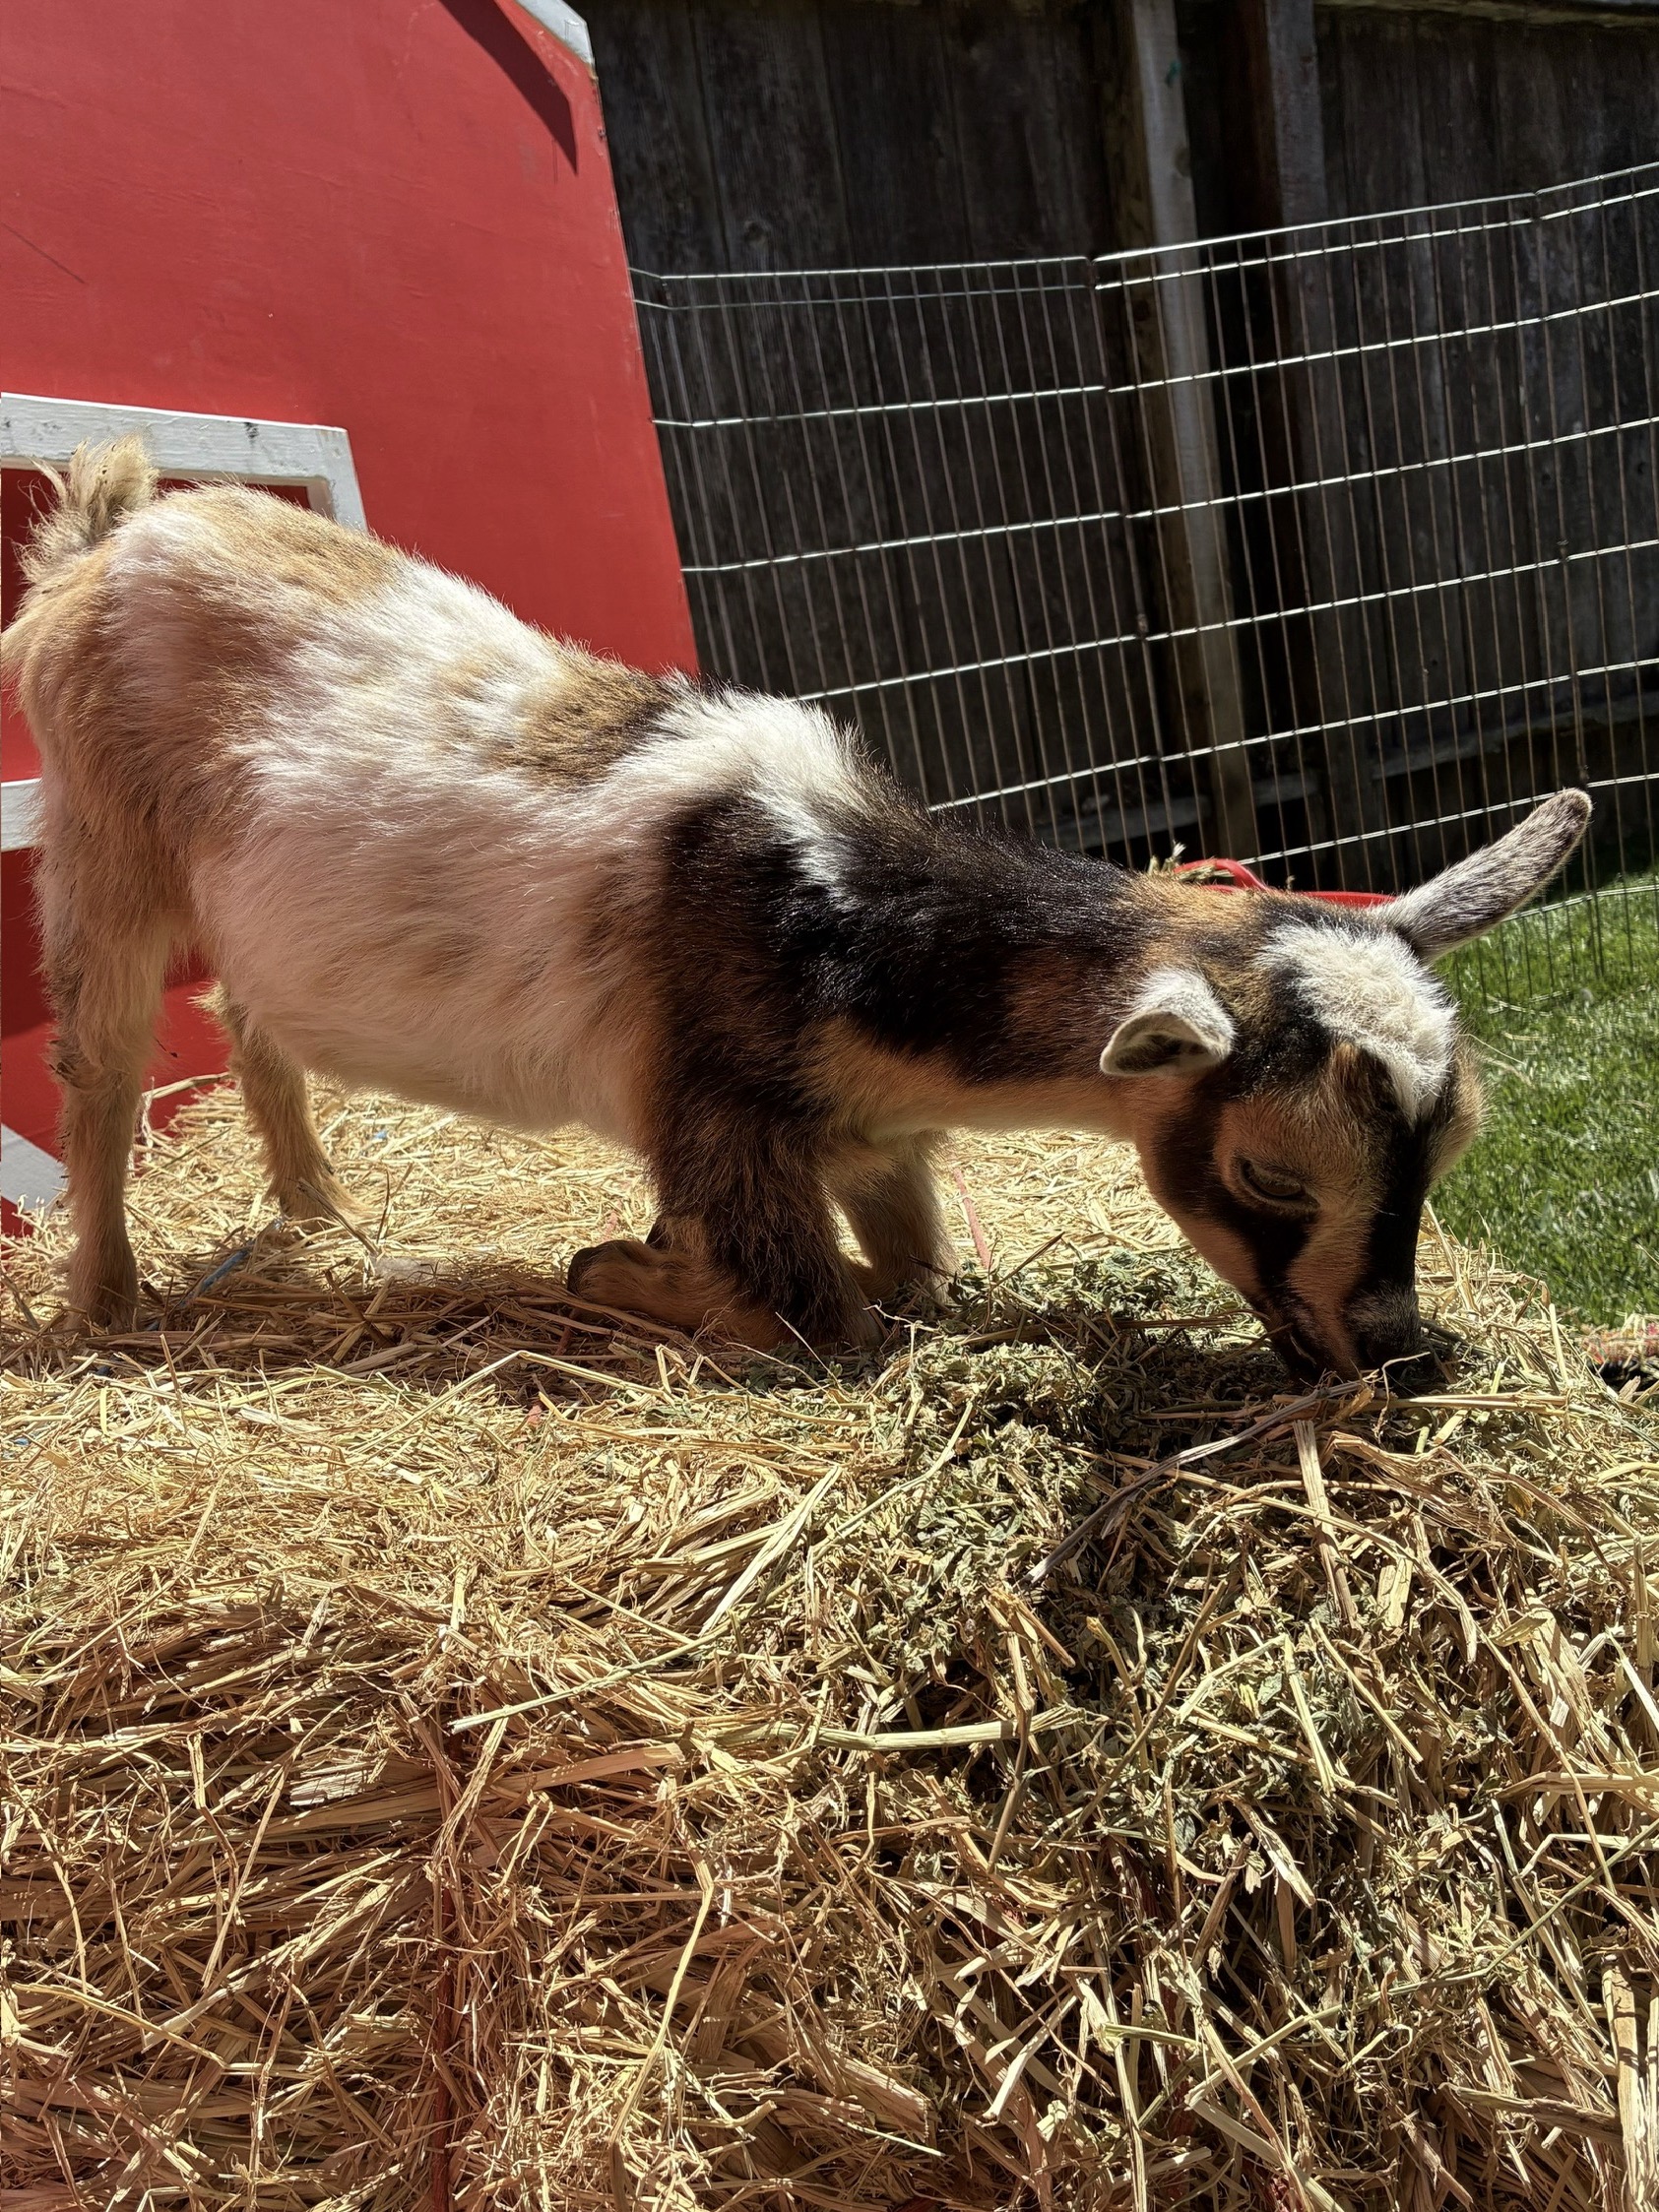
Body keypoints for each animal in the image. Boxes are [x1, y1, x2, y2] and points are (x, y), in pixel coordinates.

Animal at [2, 441, 1591, 1377]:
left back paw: (318, 1208)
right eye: (1270, 1174)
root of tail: (110, 537)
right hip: (98, 842)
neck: (832, 911)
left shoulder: (871, 1135)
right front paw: (625, 1270)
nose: (1397, 1349)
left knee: (247, 1013)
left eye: (1451, 1148)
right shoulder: (716, 1119)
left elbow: (915, 1274)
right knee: (103, 1065)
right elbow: (814, 1312)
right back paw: (109, 1298)